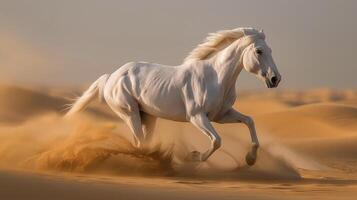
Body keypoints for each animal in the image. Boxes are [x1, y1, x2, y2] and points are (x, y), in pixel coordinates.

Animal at [65, 27, 280, 166]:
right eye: (259, 51)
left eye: (271, 50)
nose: (275, 79)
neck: (216, 78)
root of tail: (111, 77)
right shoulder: (197, 117)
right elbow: (217, 141)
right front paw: (193, 157)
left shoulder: (222, 115)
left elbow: (249, 121)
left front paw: (250, 159)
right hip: (130, 113)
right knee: (139, 143)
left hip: (148, 116)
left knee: (142, 143)